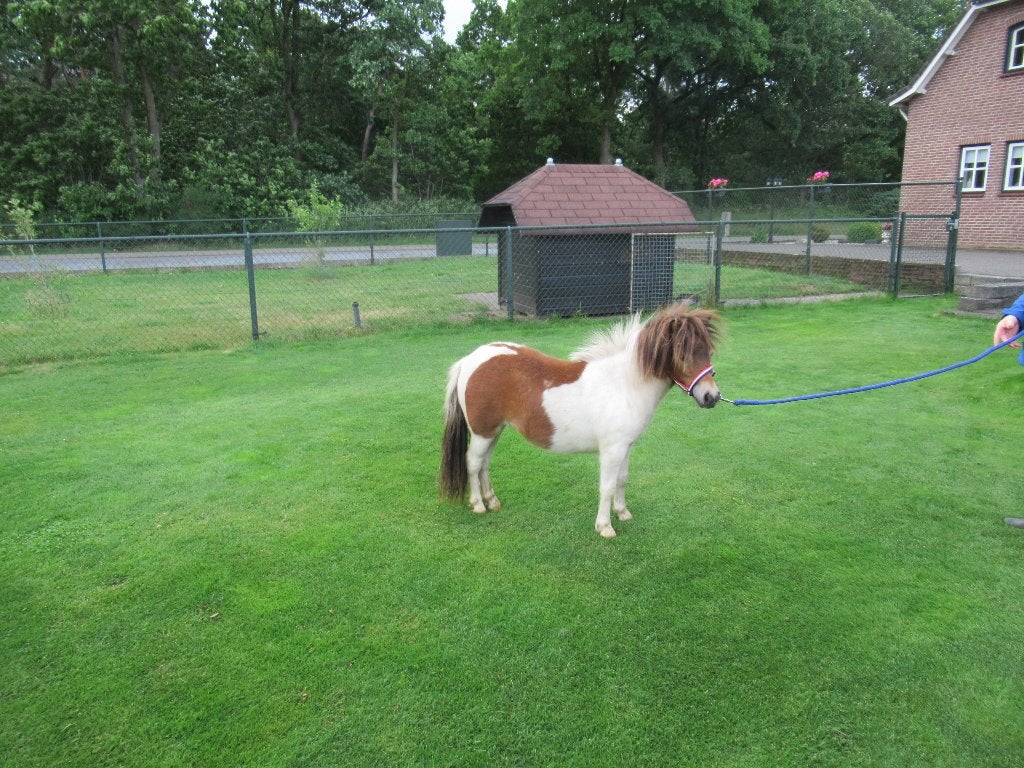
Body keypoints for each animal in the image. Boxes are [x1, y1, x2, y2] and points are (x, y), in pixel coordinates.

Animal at [439, 304, 722, 537]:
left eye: (708, 351)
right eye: (683, 354)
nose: (712, 397)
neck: (623, 384)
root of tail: (469, 360)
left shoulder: (625, 447)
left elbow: (622, 480)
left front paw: (622, 513)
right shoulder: (611, 450)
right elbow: (607, 486)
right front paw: (605, 527)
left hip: (494, 431)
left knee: (484, 464)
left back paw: (492, 501)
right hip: (482, 432)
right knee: (473, 463)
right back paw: (478, 505)